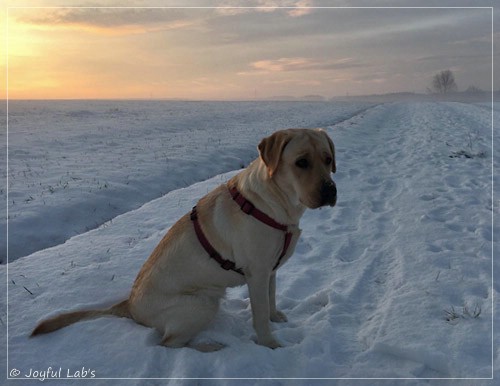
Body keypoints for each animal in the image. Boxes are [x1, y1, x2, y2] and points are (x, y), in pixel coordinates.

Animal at [30, 129, 336, 350]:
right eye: (301, 162)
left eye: (328, 159)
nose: (330, 191)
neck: (276, 205)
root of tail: (129, 305)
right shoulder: (257, 273)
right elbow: (260, 316)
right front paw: (270, 344)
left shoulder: (270, 270)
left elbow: (270, 301)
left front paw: (276, 317)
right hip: (202, 303)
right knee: (168, 343)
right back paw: (210, 346)